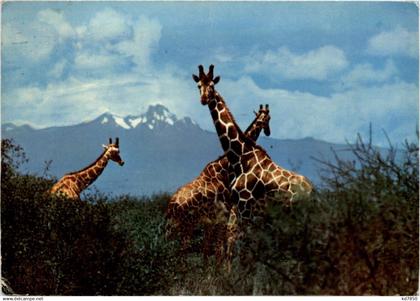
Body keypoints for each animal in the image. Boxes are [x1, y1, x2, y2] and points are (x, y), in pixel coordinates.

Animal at [166, 103, 270, 262]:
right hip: (186, 225)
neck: (225, 169)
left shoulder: (212, 220)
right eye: (267, 118)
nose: (268, 131)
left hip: (173, 226)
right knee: (181, 252)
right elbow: (218, 250)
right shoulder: (223, 214)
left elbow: (208, 250)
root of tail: (172, 206)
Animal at [192, 63, 314, 270]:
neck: (240, 156)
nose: (204, 99)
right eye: (199, 85)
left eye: (212, 86)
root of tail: (313, 190)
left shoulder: (245, 206)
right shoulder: (238, 208)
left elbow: (242, 246)